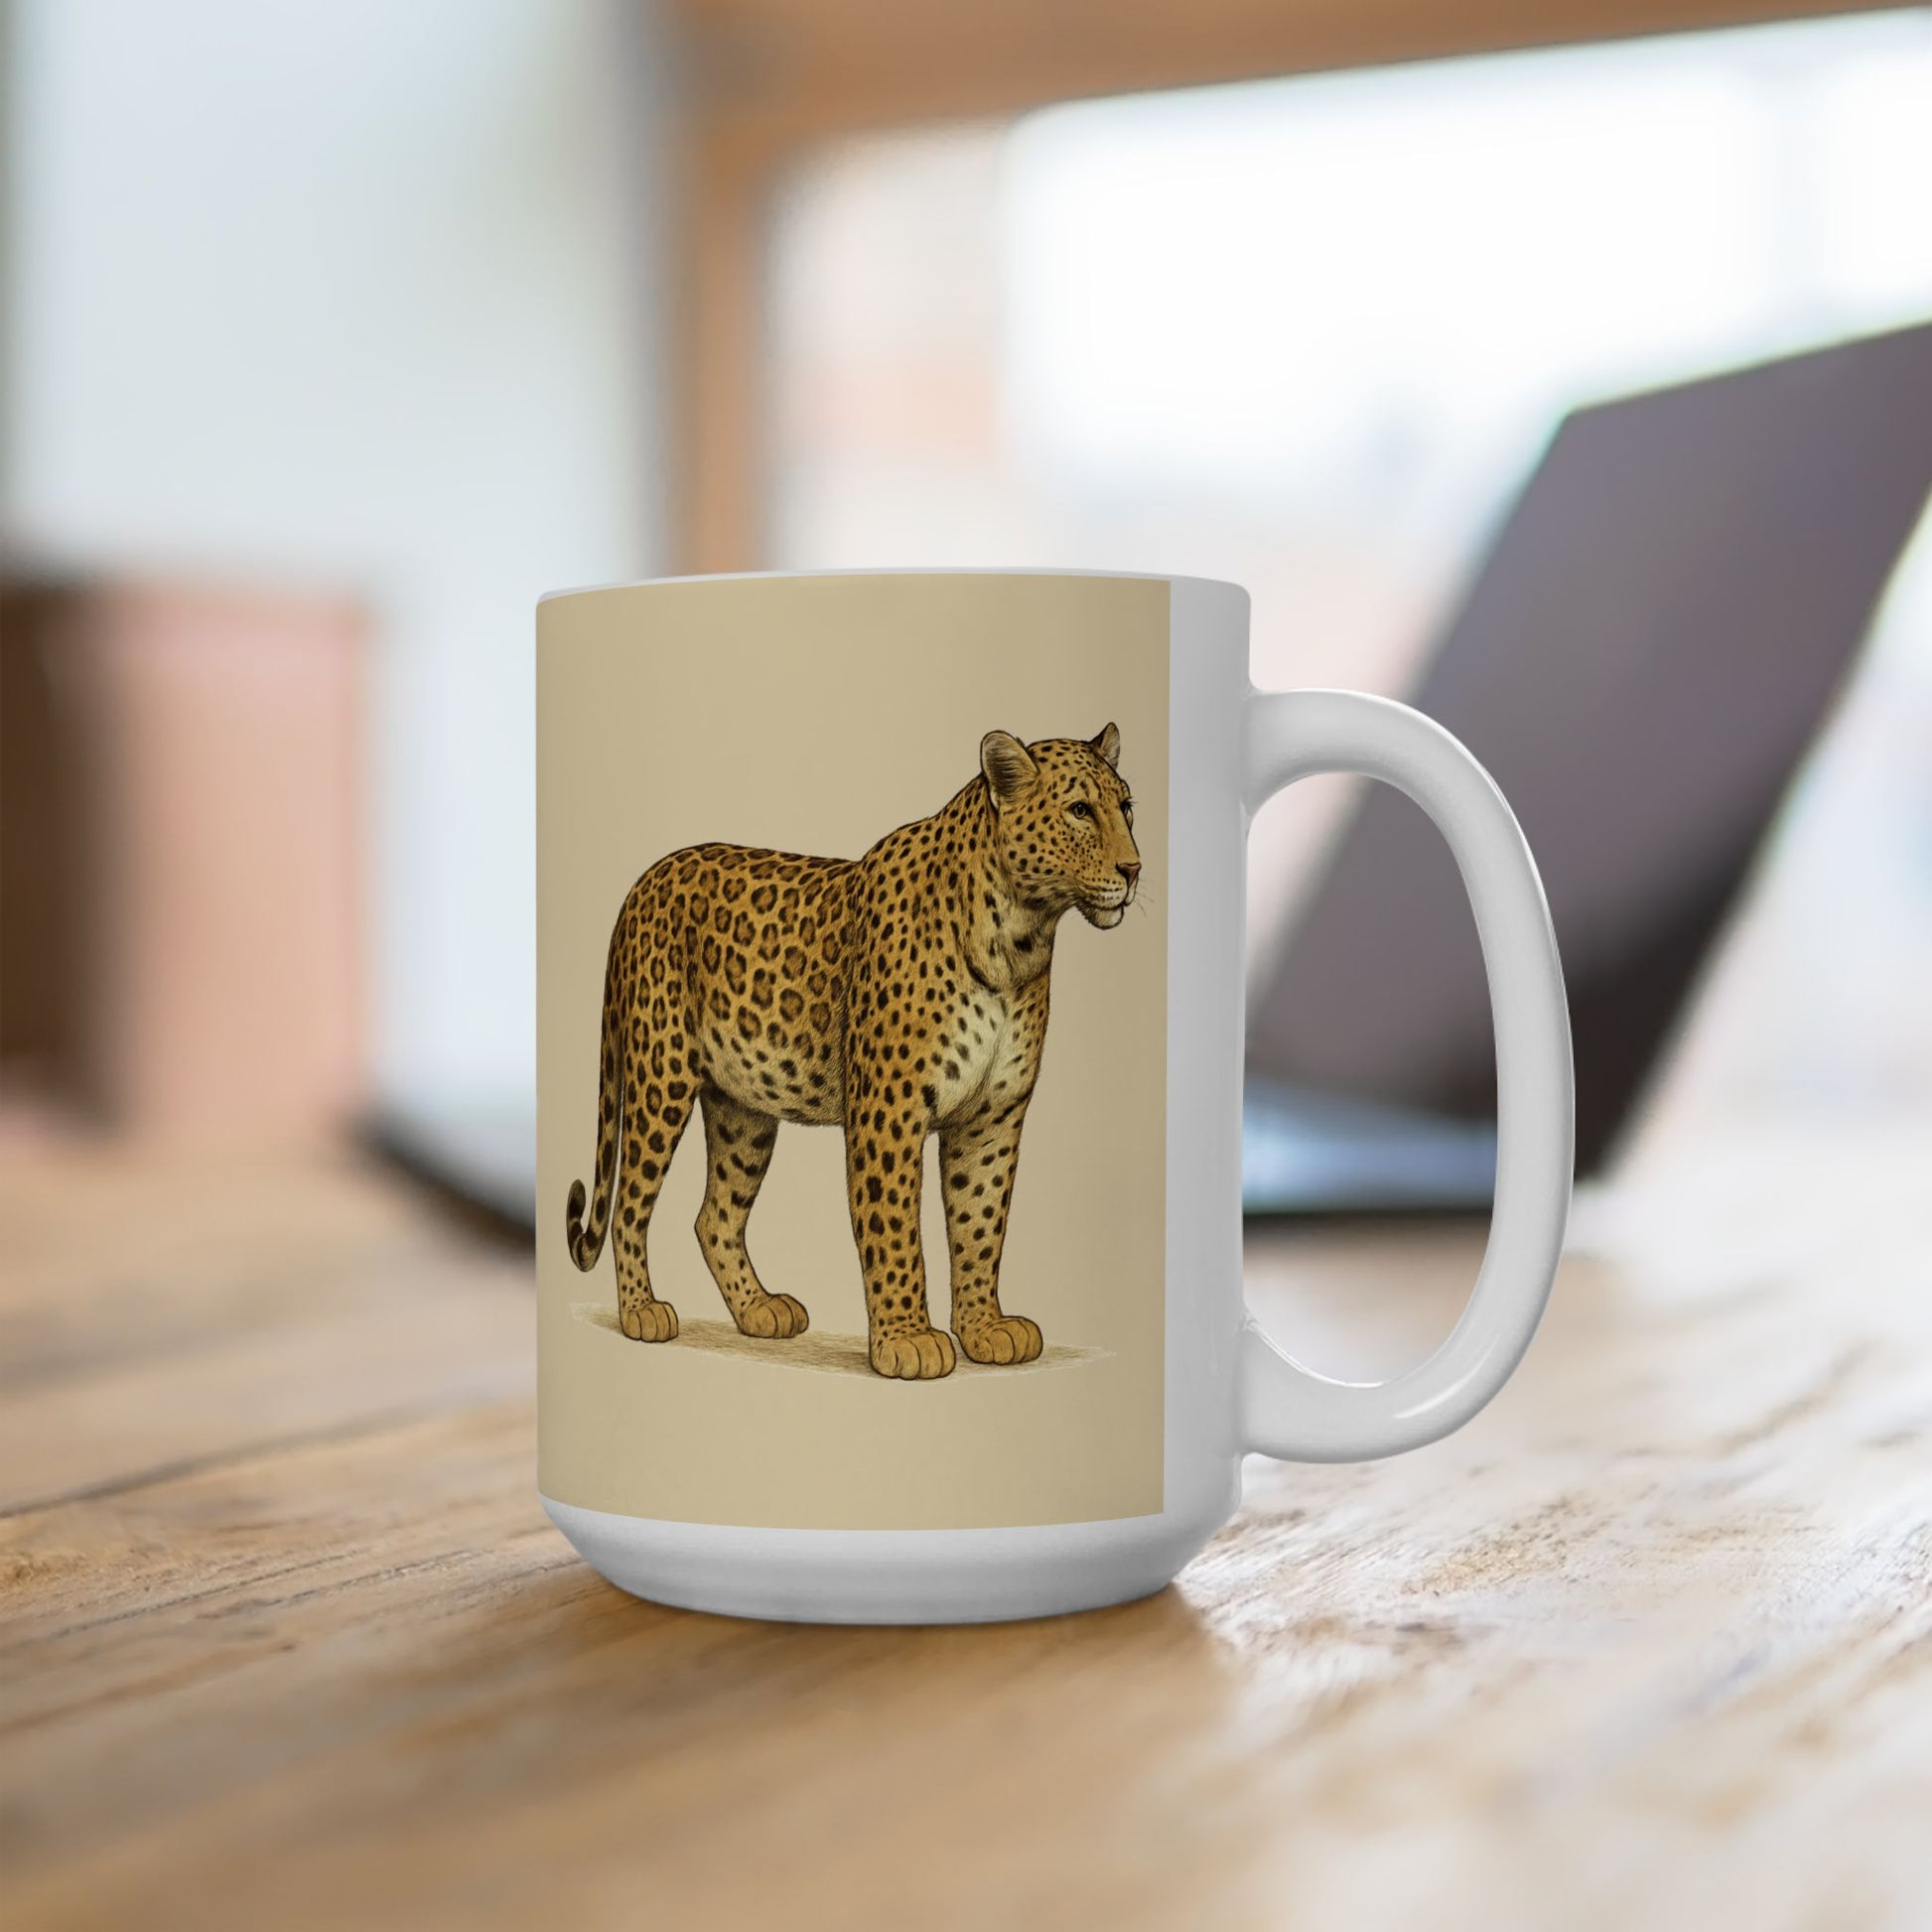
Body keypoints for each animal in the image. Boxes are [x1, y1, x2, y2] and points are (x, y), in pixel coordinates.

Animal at [564, 723, 1142, 1379]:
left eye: (1126, 808)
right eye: (1079, 811)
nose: (1134, 868)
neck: (1018, 938)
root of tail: (644, 882)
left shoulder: (992, 1118)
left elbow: (980, 1224)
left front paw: (984, 1328)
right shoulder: (890, 1111)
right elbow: (895, 1230)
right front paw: (908, 1340)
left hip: (744, 1108)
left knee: (715, 1216)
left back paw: (759, 1309)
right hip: (660, 1079)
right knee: (629, 1204)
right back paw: (642, 1311)